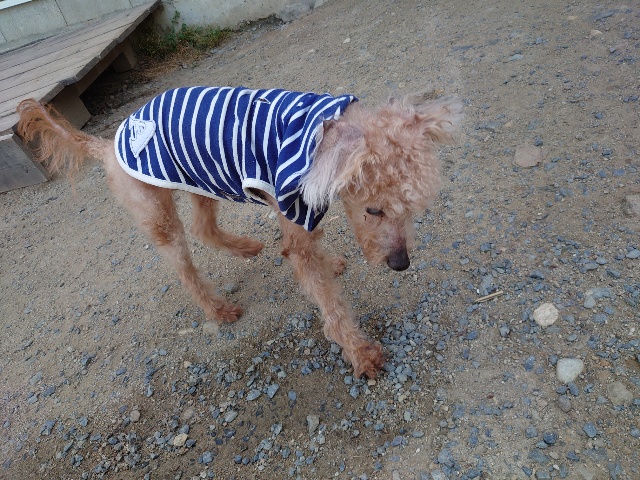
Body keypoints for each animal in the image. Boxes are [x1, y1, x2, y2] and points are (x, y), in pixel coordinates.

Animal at [17, 86, 459, 378]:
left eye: (413, 208)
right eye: (373, 209)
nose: (400, 264)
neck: (317, 147)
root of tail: (108, 147)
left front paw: (332, 263)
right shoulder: (294, 213)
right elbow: (328, 302)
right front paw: (360, 352)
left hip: (203, 181)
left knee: (204, 227)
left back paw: (246, 247)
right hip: (158, 213)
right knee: (184, 267)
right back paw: (217, 309)